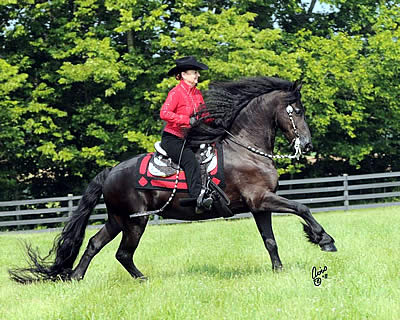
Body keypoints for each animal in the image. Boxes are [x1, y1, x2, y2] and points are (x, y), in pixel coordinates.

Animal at [9, 76, 336, 284]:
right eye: (297, 111)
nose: (307, 145)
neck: (245, 148)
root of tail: (110, 172)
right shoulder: (262, 199)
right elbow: (303, 208)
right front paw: (323, 239)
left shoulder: (259, 206)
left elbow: (270, 241)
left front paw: (279, 270)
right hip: (135, 221)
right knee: (122, 253)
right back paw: (142, 279)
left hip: (118, 219)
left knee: (92, 245)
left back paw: (75, 278)